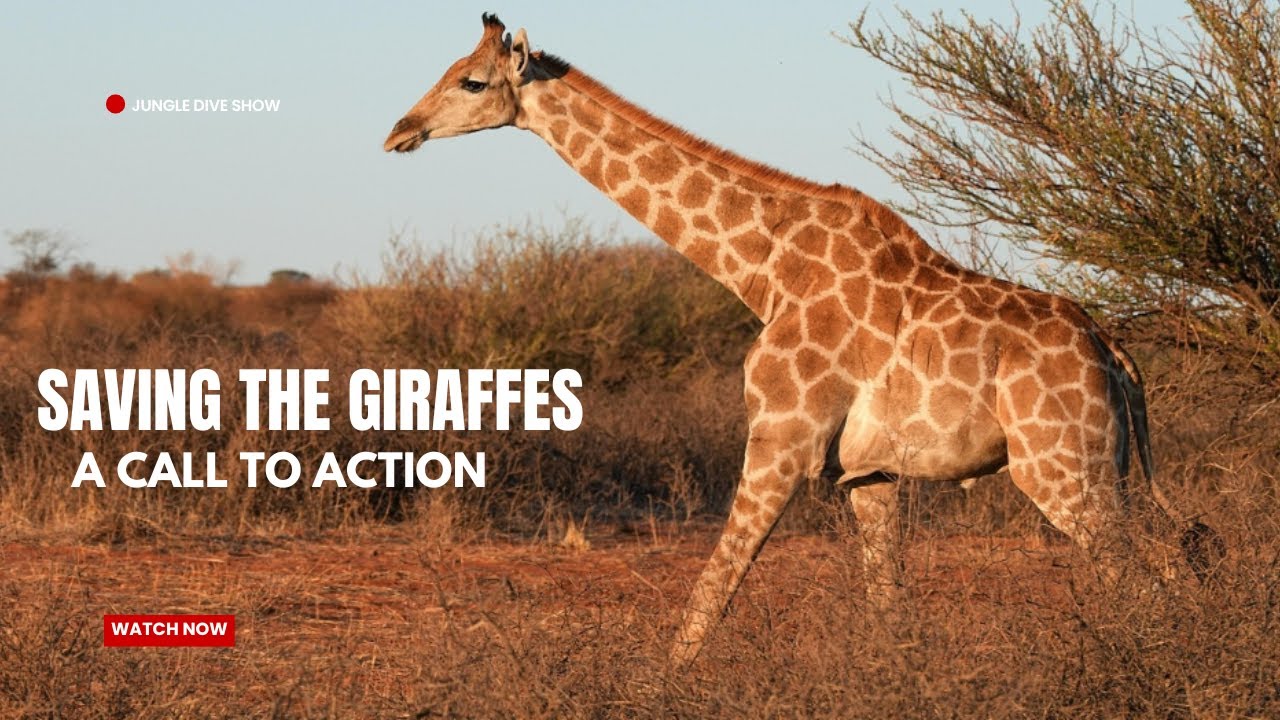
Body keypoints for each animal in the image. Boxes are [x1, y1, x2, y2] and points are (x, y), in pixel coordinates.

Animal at [383, 14, 1222, 664]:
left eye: (472, 83)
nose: (399, 131)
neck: (759, 267)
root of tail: (1115, 353)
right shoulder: (869, 474)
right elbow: (889, 615)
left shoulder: (782, 437)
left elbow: (713, 588)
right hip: (1105, 466)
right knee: (1181, 555)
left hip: (1061, 468)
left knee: (1152, 578)